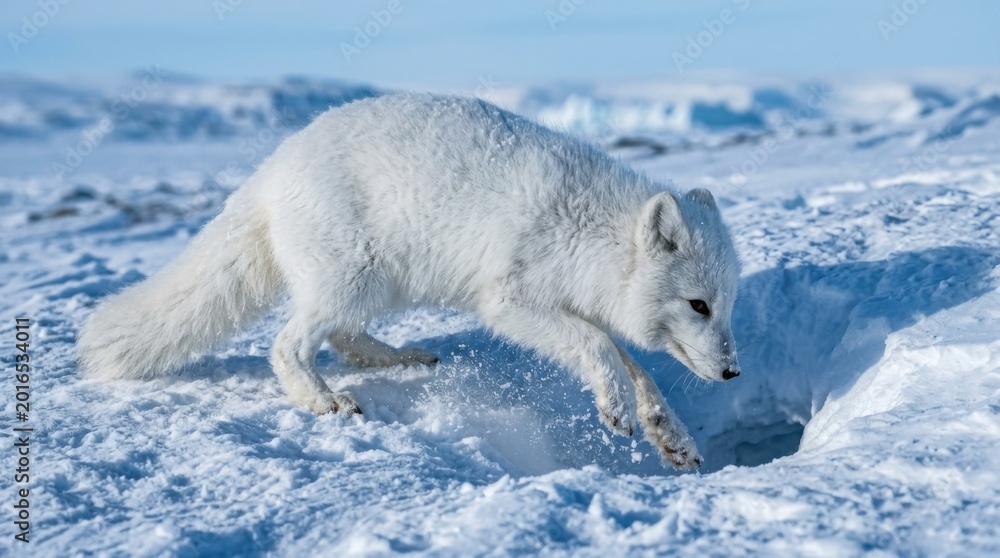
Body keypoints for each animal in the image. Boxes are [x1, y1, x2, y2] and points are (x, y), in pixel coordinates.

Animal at [77, 94, 741, 470]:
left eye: (727, 306)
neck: (588, 230)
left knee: (342, 336)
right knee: (288, 344)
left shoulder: (573, 305)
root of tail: (267, 173)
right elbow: (600, 348)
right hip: (355, 278)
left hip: (377, 287)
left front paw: (668, 434)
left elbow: (637, 367)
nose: (734, 372)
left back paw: (402, 359)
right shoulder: (510, 302)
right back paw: (323, 400)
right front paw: (615, 409)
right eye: (698, 305)